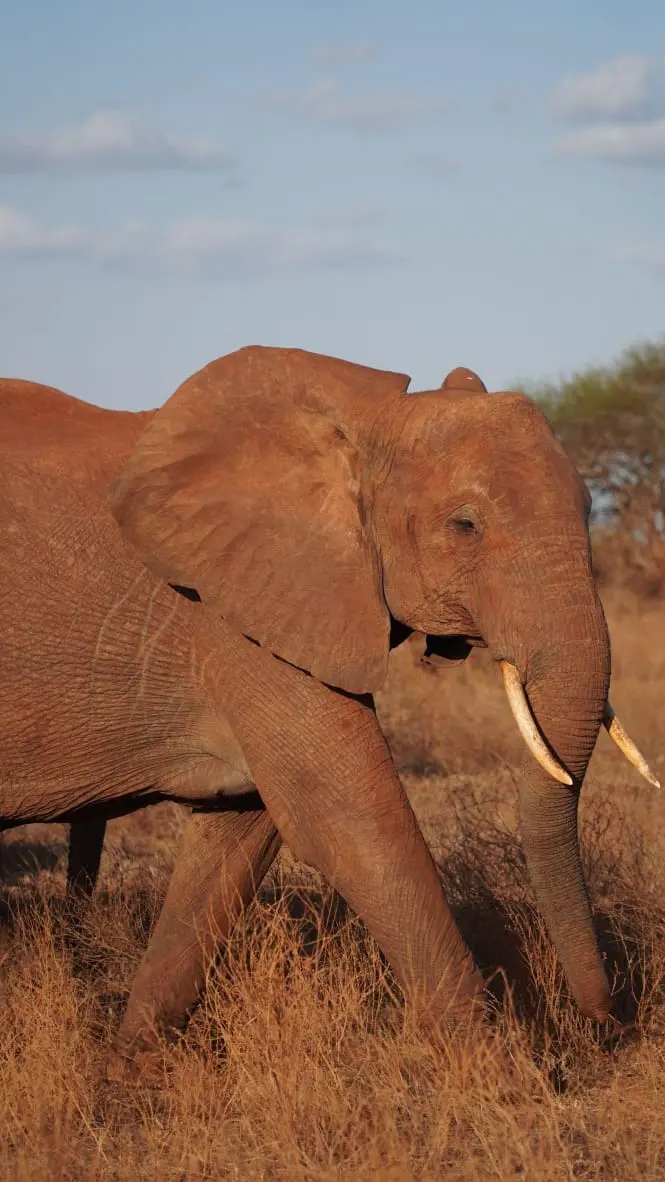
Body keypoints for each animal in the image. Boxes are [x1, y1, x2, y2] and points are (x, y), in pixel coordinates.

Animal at [0, 348, 657, 1078]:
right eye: (465, 525)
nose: (603, 1021)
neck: (365, 423)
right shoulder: (237, 618)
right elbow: (353, 823)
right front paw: (505, 1081)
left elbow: (238, 836)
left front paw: (129, 1076)